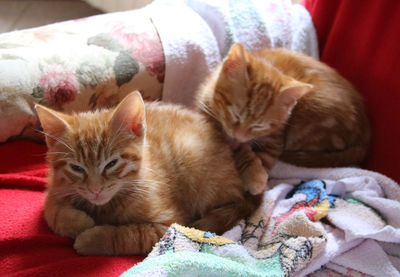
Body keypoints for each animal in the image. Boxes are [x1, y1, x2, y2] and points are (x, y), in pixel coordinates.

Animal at [34, 91, 260, 256]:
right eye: (77, 168)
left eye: (112, 163)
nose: (95, 190)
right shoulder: (55, 189)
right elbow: (52, 212)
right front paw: (81, 222)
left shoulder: (170, 224)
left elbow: (131, 235)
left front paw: (93, 238)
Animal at [195, 43, 370, 194]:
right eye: (235, 114)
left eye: (259, 126)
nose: (238, 137)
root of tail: (365, 135)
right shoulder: (203, 112)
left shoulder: (275, 140)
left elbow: (259, 156)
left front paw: (253, 174)